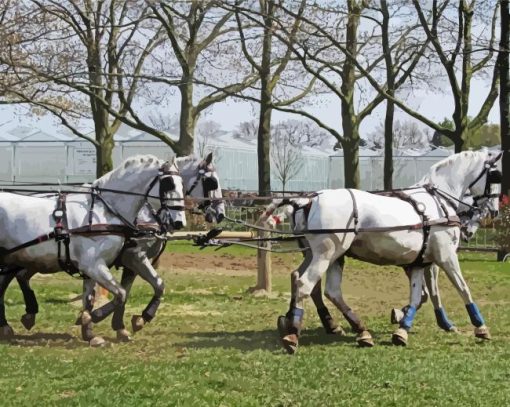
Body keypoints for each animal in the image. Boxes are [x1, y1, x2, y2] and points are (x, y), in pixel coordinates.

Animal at [260, 151, 500, 354]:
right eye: (496, 175)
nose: (495, 210)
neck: (438, 202)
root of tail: (307, 199)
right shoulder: (445, 256)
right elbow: (462, 289)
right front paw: (481, 328)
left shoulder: (419, 261)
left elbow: (419, 296)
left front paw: (403, 327)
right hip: (326, 254)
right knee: (306, 284)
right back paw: (294, 334)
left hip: (327, 255)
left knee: (319, 286)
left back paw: (347, 328)